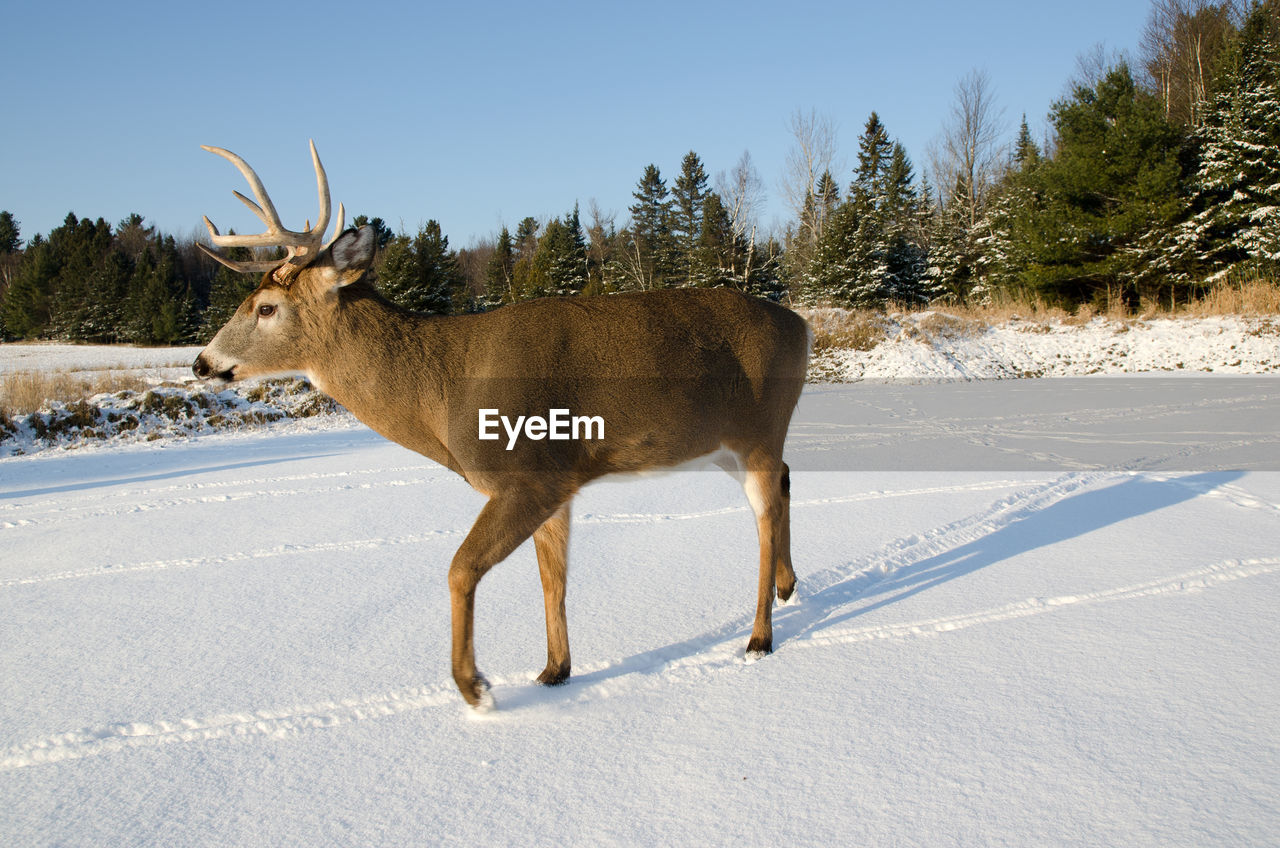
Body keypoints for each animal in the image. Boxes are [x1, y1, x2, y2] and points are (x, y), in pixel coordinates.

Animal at [192, 140, 808, 712]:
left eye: (266, 307)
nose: (201, 363)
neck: (441, 392)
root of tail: (802, 325)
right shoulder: (559, 482)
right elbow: (551, 579)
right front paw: (554, 671)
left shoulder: (529, 475)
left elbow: (460, 569)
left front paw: (475, 687)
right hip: (726, 446)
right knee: (784, 479)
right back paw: (787, 587)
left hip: (759, 428)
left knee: (763, 509)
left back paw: (759, 637)